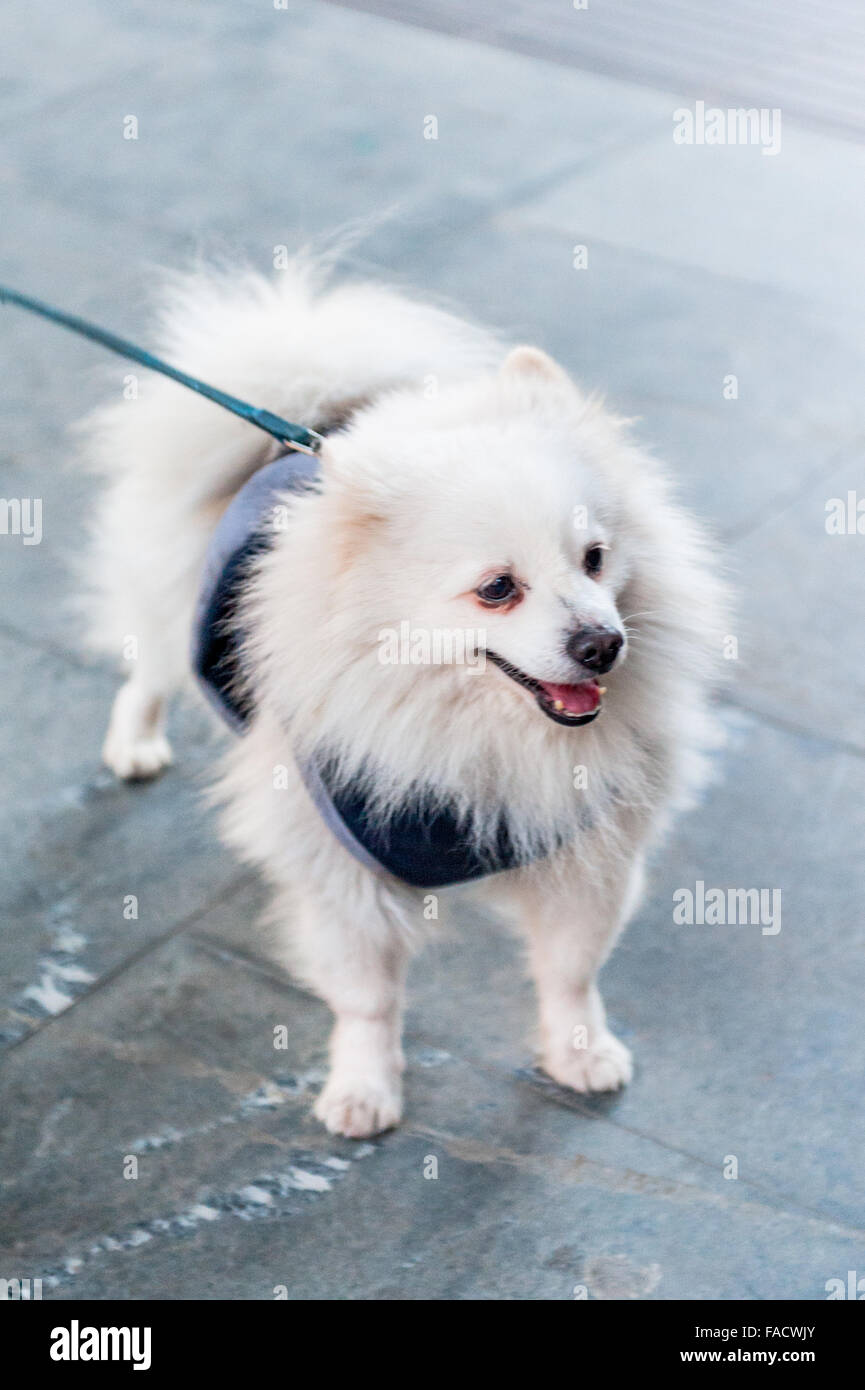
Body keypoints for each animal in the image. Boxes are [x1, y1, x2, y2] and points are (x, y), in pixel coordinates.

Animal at [81, 262, 728, 1139]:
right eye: (497, 588)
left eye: (595, 557)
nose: (602, 644)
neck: (476, 734)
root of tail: (300, 418)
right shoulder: (342, 865)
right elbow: (367, 997)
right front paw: (363, 1089)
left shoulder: (585, 851)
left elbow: (571, 968)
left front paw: (579, 1051)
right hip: (165, 606)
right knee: (145, 670)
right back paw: (135, 742)